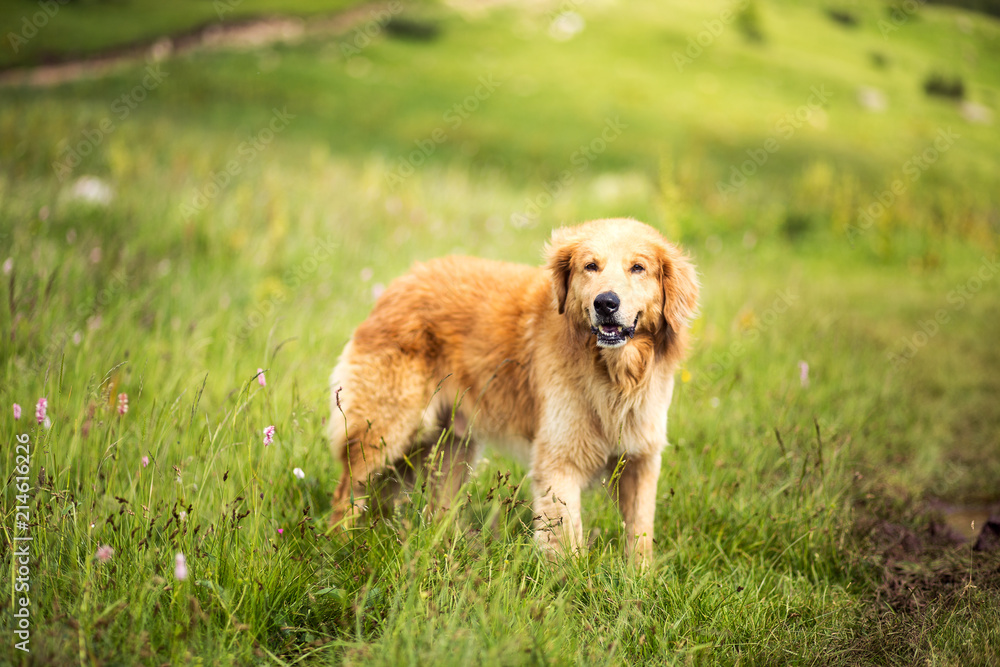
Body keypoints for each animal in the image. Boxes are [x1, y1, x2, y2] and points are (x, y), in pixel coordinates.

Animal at [328, 218, 696, 560]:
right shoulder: (559, 463)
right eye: (591, 266)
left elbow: (640, 535)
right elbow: (566, 544)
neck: (613, 373)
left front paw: (640, 578)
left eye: (638, 268)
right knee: (348, 489)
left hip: (453, 450)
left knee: (434, 509)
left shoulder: (640, 461)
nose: (605, 303)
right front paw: (570, 581)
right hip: (387, 431)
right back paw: (338, 547)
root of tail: (400, 283)